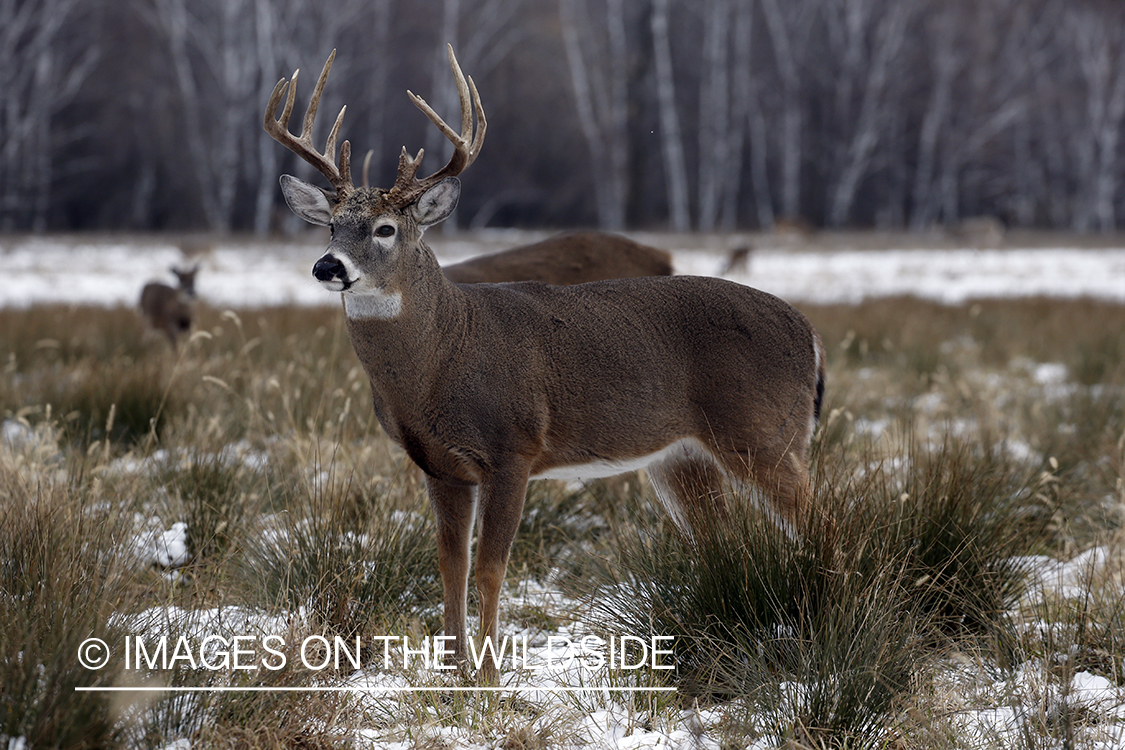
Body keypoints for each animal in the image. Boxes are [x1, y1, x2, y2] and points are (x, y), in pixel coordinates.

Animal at [264, 45, 828, 679]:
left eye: (385, 228)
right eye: (333, 226)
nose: (327, 266)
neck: (441, 361)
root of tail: (809, 333)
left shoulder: (514, 448)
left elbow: (491, 567)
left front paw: (488, 674)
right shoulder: (439, 466)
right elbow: (451, 566)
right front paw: (453, 670)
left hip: (765, 431)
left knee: (821, 525)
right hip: (681, 454)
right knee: (725, 544)